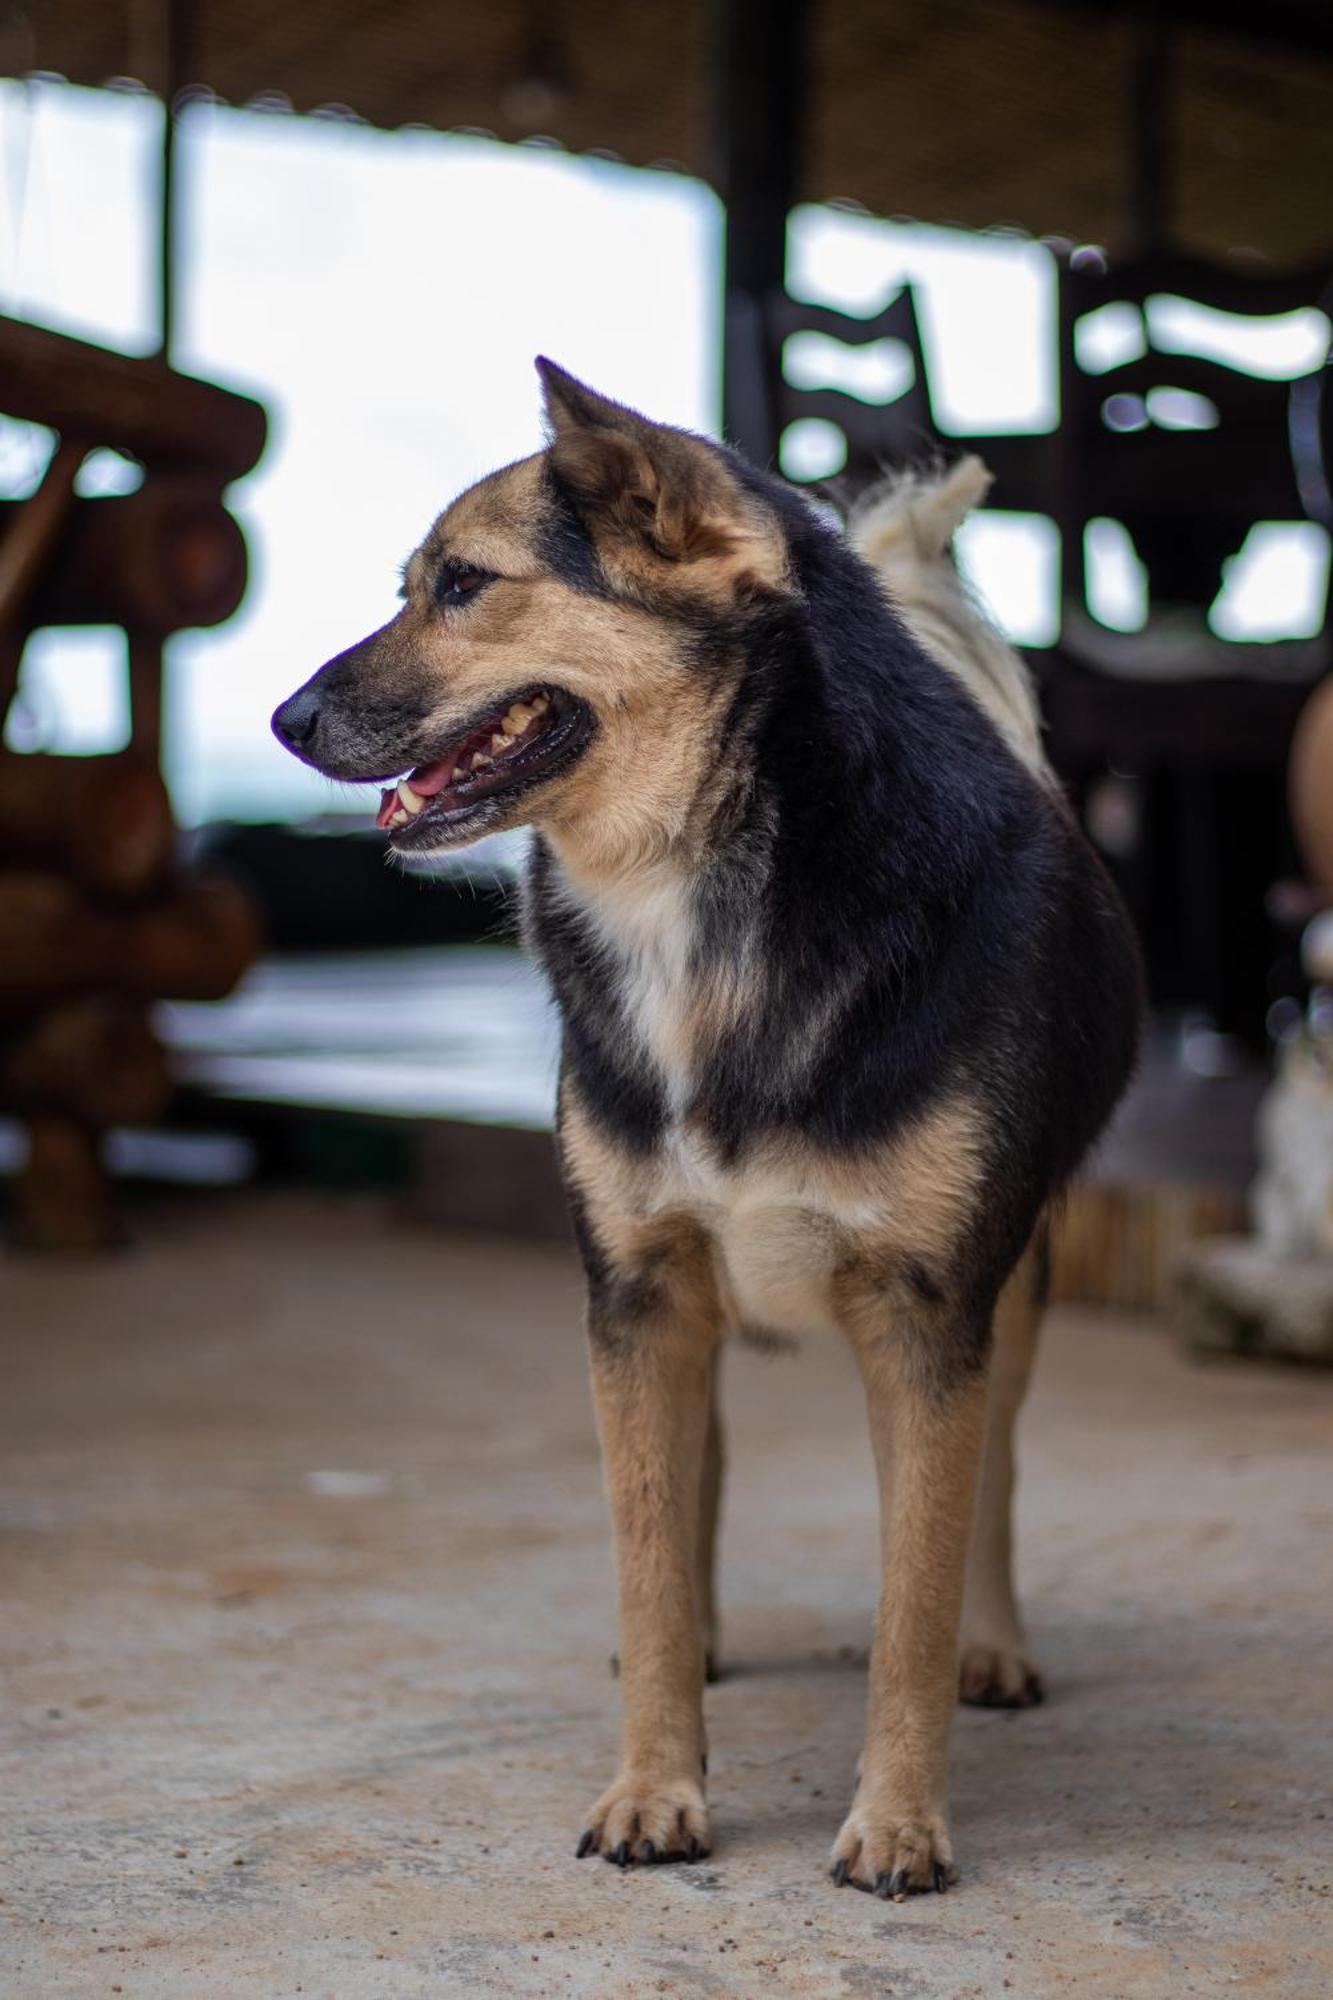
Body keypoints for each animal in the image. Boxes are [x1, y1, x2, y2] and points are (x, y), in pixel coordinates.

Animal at [274, 368, 1136, 1896]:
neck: (696, 902)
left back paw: (994, 1645)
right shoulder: (636, 1294)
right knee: (699, 1476)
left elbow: (913, 1595)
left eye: (462, 584)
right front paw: (653, 1785)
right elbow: (646, 1553)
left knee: (990, 1483)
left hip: (1014, 1293)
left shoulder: (928, 1316)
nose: (283, 719)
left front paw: (898, 1821)